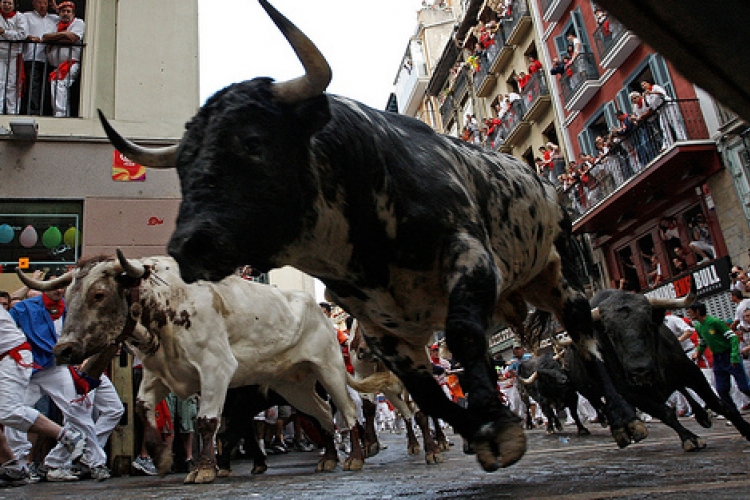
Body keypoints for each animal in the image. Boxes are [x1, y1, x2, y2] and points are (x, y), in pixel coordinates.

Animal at [18, 252, 368, 482]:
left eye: (99, 294)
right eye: (67, 295)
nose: (63, 349)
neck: (165, 301)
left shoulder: (216, 368)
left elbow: (206, 422)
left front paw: (203, 468)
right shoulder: (158, 373)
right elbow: (143, 408)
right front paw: (161, 457)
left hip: (329, 369)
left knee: (349, 410)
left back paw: (354, 457)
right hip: (292, 384)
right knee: (322, 413)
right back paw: (329, 457)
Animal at [95, 0, 648, 470]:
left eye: (251, 141)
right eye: (183, 167)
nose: (187, 246)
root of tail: (545, 182)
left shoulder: (468, 256)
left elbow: (465, 335)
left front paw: (499, 428)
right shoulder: (380, 326)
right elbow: (425, 391)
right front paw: (480, 430)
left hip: (560, 274)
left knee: (585, 338)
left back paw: (627, 420)